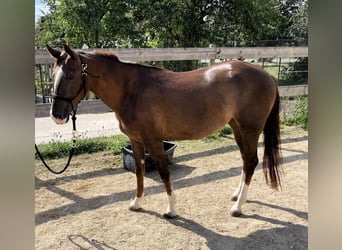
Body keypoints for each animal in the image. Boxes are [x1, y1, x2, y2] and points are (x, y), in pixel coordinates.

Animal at [46, 44, 280, 217]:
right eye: (53, 74)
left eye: (71, 75)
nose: (56, 115)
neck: (132, 90)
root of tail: (268, 76)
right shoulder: (136, 140)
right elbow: (139, 171)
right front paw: (136, 203)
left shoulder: (154, 141)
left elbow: (164, 172)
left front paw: (171, 209)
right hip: (237, 127)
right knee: (245, 160)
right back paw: (237, 196)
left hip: (250, 129)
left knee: (251, 161)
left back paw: (238, 207)